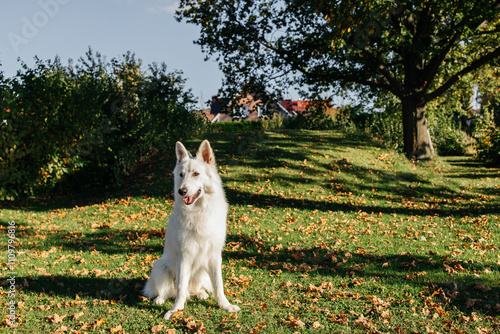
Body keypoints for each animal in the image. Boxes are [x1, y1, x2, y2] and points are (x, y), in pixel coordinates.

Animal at [143, 140, 240, 320]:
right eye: (181, 175)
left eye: (196, 174)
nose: (182, 191)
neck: (199, 210)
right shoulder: (185, 257)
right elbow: (181, 287)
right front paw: (175, 310)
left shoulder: (214, 256)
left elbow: (219, 285)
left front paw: (225, 305)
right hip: (160, 267)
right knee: (167, 291)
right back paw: (160, 299)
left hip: (202, 271)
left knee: (195, 289)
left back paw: (201, 293)